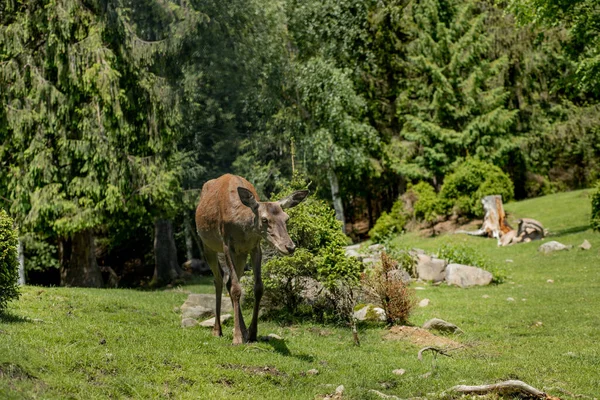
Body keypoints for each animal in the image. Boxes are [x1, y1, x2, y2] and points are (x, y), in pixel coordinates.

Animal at [196, 174, 310, 344]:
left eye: (287, 218)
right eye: (264, 220)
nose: (290, 247)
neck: (244, 229)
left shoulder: (255, 246)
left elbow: (258, 288)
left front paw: (252, 333)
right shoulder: (226, 244)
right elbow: (237, 289)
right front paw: (237, 338)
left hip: (240, 254)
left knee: (229, 281)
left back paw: (243, 330)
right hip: (207, 245)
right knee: (219, 279)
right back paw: (217, 330)